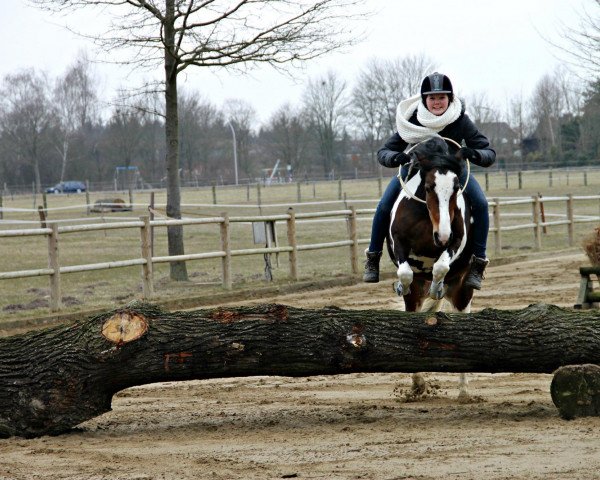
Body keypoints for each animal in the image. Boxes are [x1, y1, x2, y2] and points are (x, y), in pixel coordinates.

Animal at [386, 136, 476, 402]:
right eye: (427, 187)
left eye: (456, 187)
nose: (442, 236)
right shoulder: (399, 243)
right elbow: (405, 272)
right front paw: (400, 285)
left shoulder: (455, 242)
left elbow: (440, 266)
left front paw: (437, 287)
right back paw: (417, 384)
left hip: (463, 293)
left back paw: (464, 391)